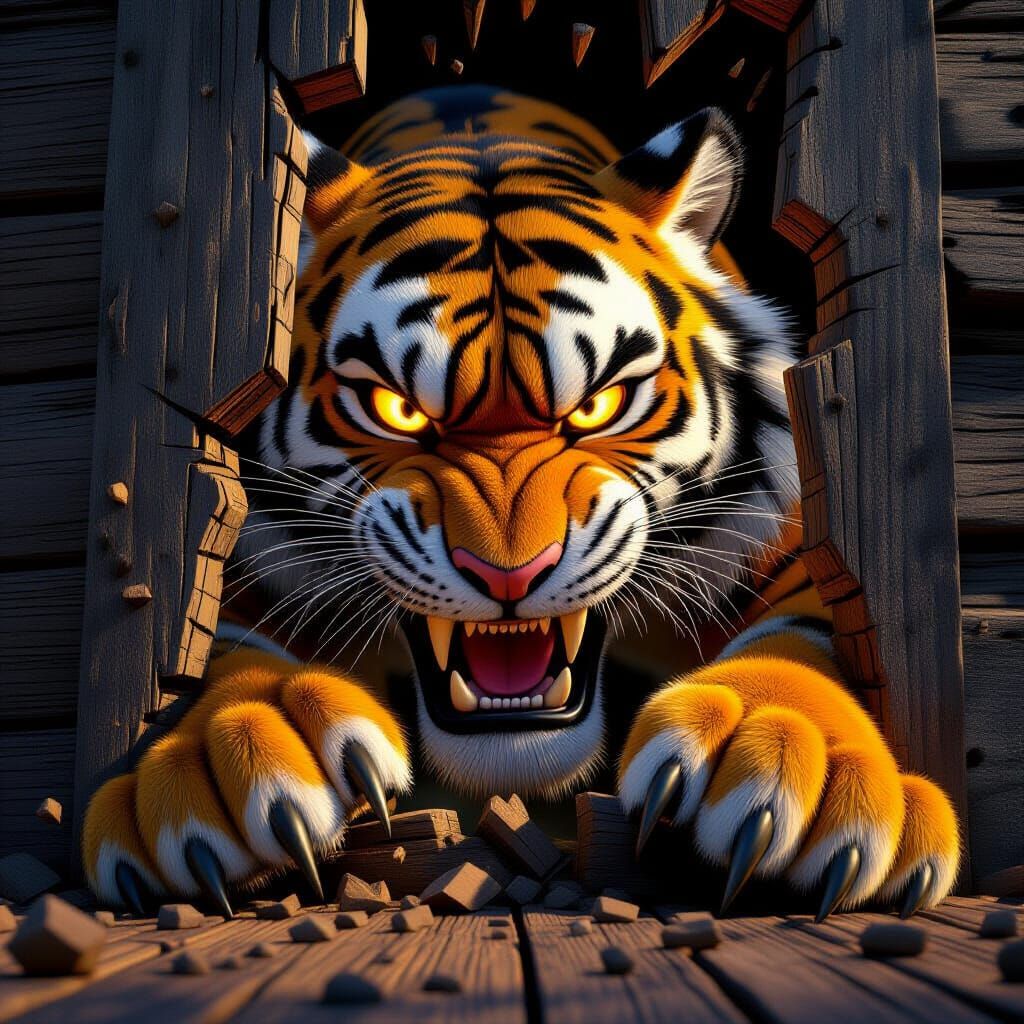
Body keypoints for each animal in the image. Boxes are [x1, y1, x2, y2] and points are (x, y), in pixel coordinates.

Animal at [82, 86, 959, 919]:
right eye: (398, 410)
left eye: (599, 406)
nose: (510, 575)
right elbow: (216, 642)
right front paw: (224, 756)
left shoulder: (793, 542)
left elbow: (807, 631)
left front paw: (789, 756)